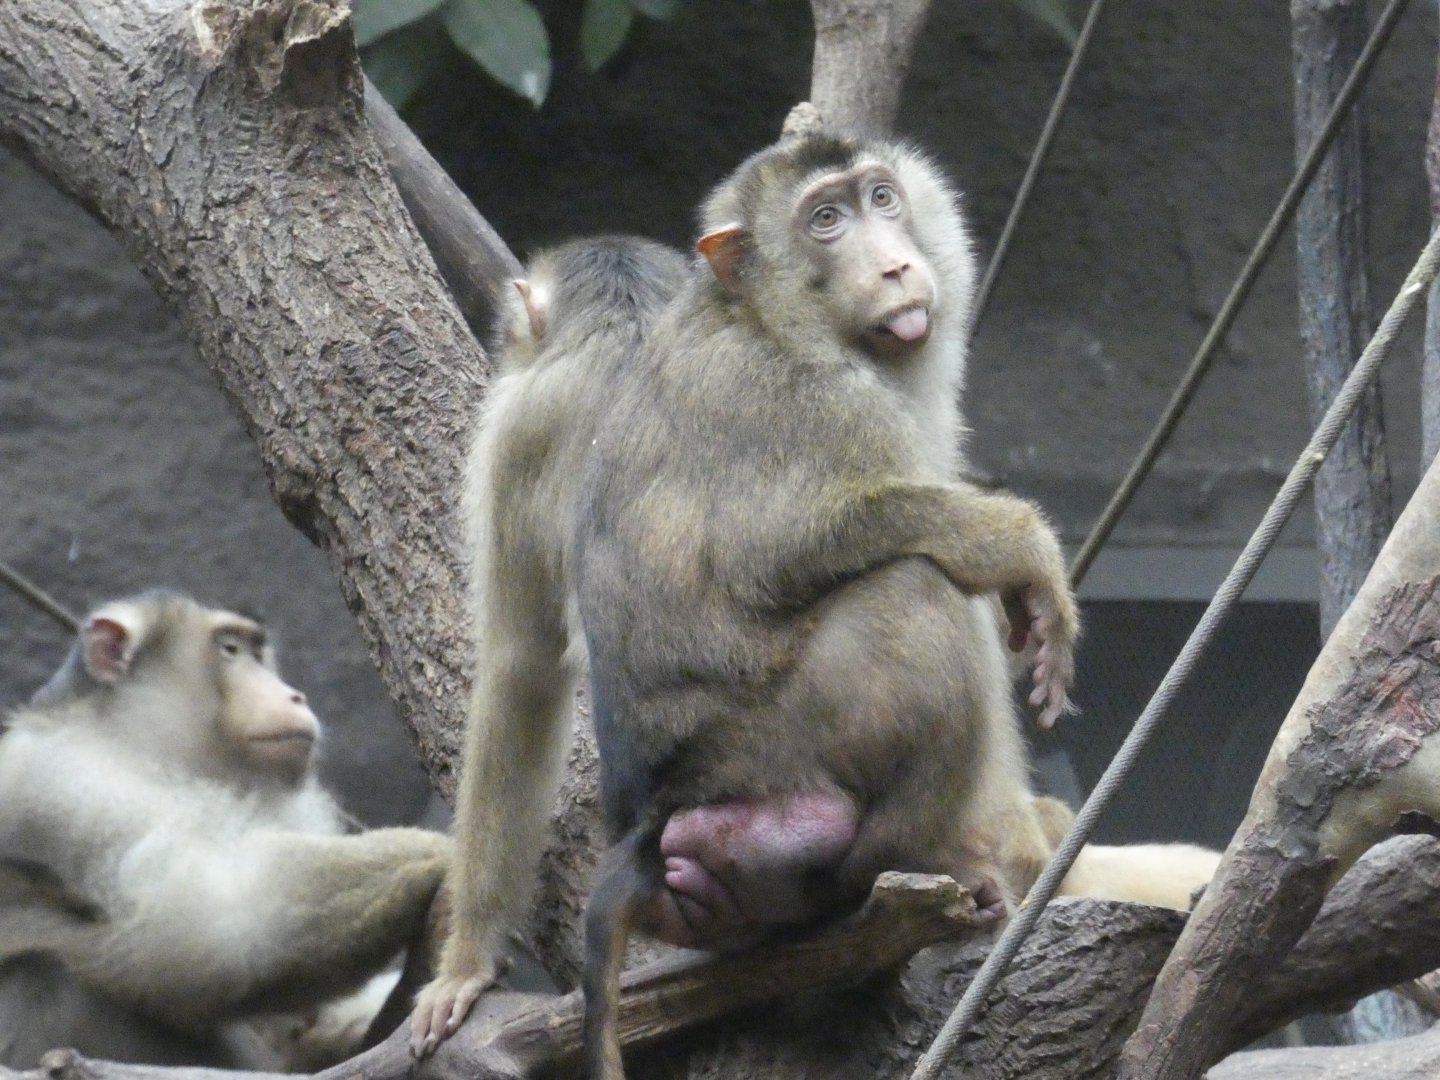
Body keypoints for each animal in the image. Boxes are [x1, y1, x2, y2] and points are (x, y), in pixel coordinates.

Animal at [0, 590, 451, 1069]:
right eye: (229, 650)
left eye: (256, 653)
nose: (295, 695)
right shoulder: (72, 783)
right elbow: (210, 928)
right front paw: (440, 856)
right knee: (49, 969)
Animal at [561, 129, 1083, 1079]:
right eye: (826, 221)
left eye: (880, 198)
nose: (895, 265)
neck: (765, 317)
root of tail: (655, 816)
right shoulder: (814, 403)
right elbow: (785, 547)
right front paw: (1019, 543)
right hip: (773, 750)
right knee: (918, 588)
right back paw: (904, 860)